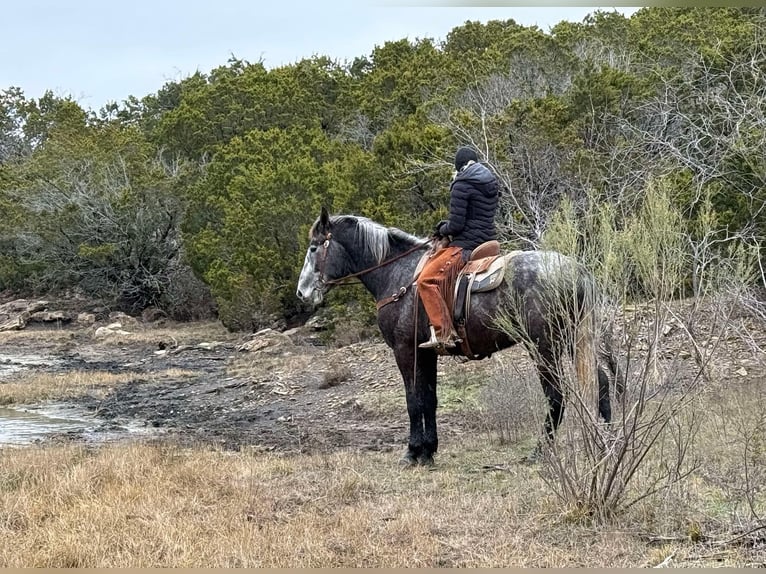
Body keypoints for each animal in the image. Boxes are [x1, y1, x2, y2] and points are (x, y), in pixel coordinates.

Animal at [297, 207, 622, 466]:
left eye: (313, 248)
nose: (302, 293)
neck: (398, 275)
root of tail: (577, 270)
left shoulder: (405, 350)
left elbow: (413, 400)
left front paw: (413, 452)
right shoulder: (427, 351)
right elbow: (429, 399)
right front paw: (428, 451)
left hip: (544, 347)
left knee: (556, 397)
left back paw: (540, 451)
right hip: (572, 340)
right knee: (602, 382)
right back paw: (608, 440)